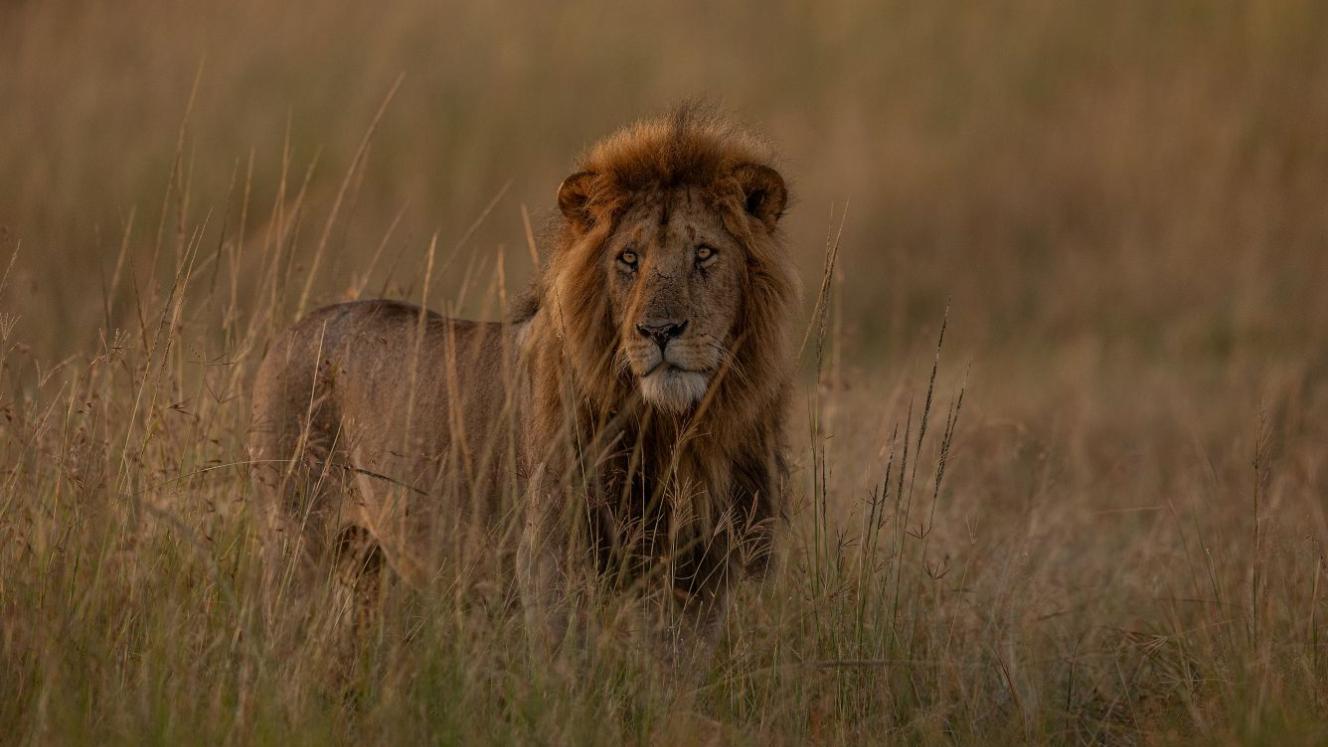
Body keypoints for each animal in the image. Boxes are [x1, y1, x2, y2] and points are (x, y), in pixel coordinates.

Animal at [248, 107, 798, 654]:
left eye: (703, 254)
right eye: (629, 258)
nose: (659, 331)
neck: (669, 427)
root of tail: (292, 331)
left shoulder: (701, 573)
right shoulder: (552, 560)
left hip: (367, 563)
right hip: (297, 541)